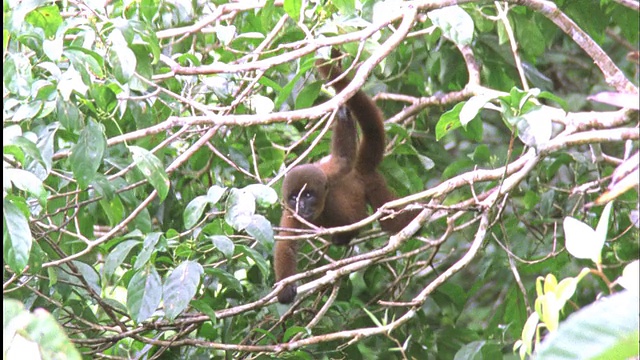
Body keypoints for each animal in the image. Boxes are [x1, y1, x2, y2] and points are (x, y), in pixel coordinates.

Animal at [274, 50, 416, 304]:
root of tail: (361, 170)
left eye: (308, 195)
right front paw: (285, 288)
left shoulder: (329, 173)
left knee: (390, 221)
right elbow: (286, 246)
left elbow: (342, 158)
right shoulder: (290, 215)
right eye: (294, 198)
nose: (302, 206)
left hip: (372, 184)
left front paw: (342, 114)